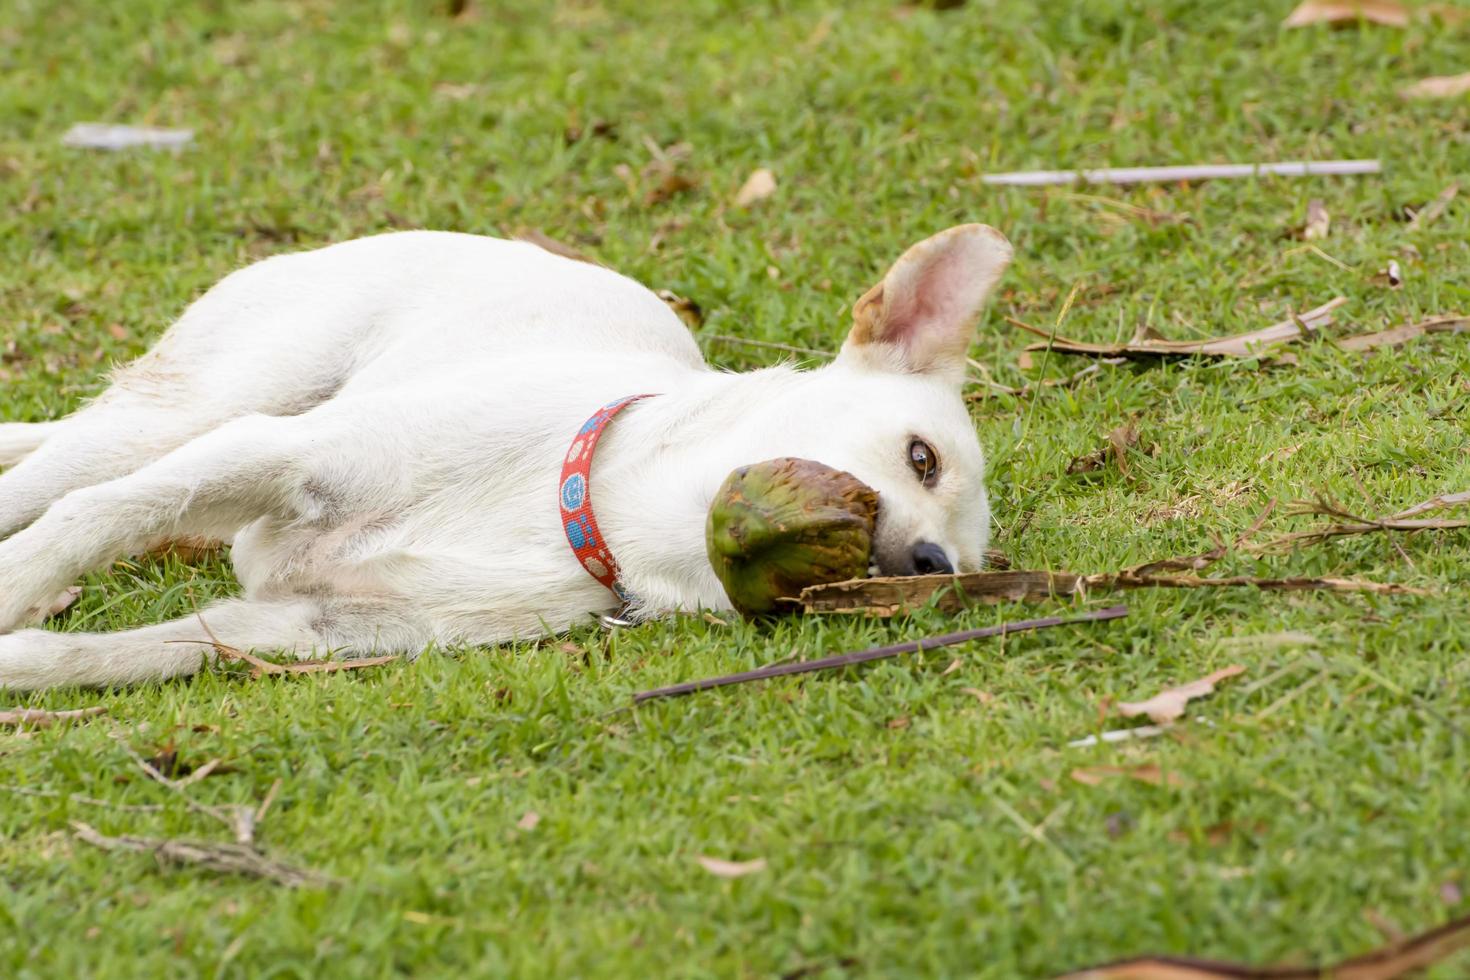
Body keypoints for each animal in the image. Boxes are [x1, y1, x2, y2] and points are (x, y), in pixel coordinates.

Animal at [0, 221, 1011, 690]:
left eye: (959, 572)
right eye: (921, 458)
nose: (930, 563)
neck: (601, 515)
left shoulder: (305, 629)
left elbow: (126, 655)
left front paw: (28, 660)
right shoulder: (282, 454)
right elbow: (90, 518)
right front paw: (18, 591)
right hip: (206, 405)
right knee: (67, 483)